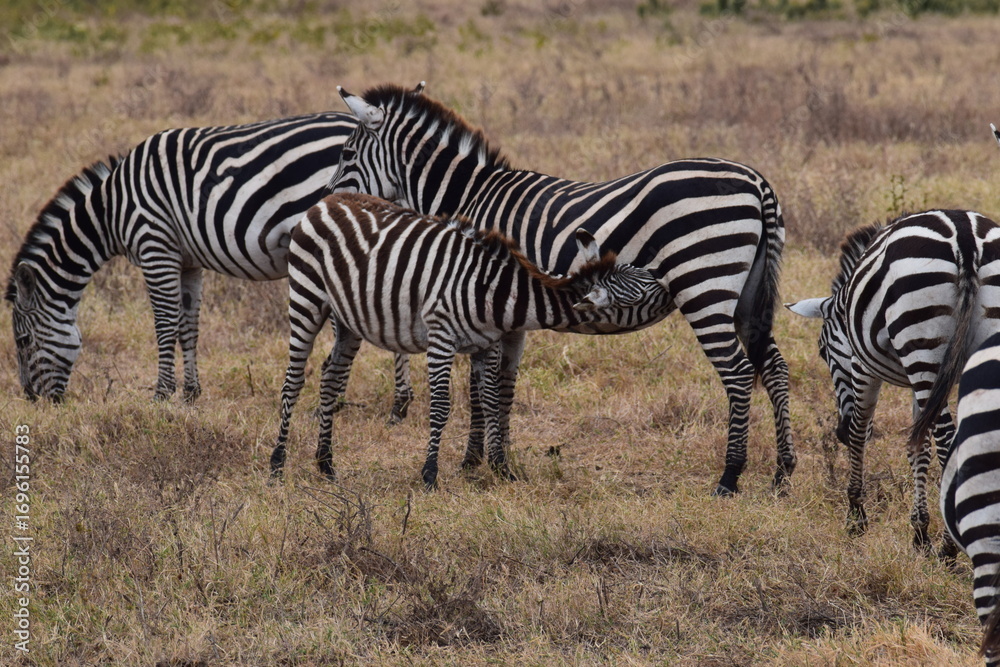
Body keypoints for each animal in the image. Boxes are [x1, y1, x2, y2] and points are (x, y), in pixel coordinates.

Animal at [5, 111, 379, 405]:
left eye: (23, 342)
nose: (32, 399)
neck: (111, 210)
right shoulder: (188, 261)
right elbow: (189, 325)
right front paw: (190, 393)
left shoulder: (155, 246)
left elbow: (164, 323)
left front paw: (161, 394)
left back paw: (335, 400)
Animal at [268, 193, 667, 488]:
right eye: (643, 295)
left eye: (645, 274)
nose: (672, 288)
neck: (495, 293)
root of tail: (327, 200)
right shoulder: (441, 338)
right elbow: (442, 407)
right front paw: (430, 475)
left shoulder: (487, 345)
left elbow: (491, 402)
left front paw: (501, 469)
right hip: (307, 297)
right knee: (293, 382)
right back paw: (277, 466)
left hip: (349, 320)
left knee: (330, 379)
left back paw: (326, 465)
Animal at [325, 82, 795, 496]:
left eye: (346, 155)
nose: (323, 203)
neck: (469, 196)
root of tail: (757, 182)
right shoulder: (505, 311)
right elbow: (502, 384)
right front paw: (493, 460)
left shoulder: (480, 295)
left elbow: (481, 387)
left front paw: (476, 461)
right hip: (747, 295)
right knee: (773, 366)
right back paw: (782, 473)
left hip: (704, 285)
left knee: (738, 373)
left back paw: (730, 476)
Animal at [786, 210, 1000, 547]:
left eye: (822, 351)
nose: (838, 432)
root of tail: (964, 235)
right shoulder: (922, 382)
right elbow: (917, 447)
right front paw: (919, 531)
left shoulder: (861, 365)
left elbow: (861, 431)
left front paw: (856, 516)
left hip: (922, 344)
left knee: (946, 439)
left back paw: (949, 546)